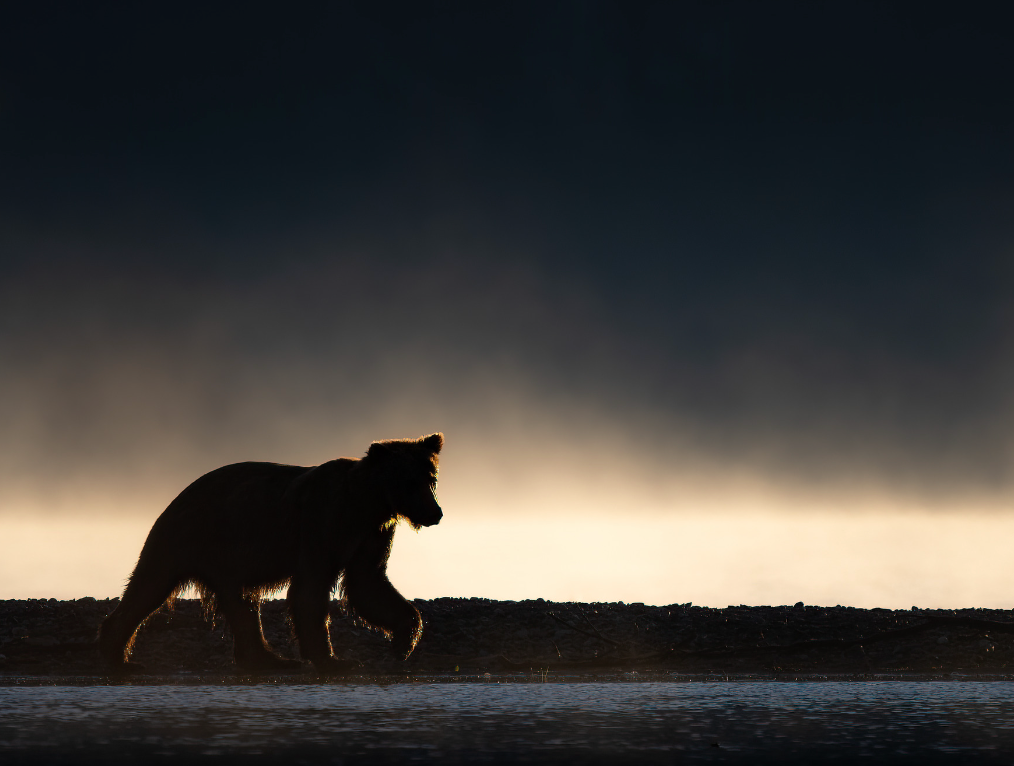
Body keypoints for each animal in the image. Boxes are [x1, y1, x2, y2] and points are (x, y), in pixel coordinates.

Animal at [98, 433, 444, 675]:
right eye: (408, 481)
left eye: (430, 479)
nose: (435, 513)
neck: (367, 504)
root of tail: (176, 496)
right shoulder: (321, 524)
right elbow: (311, 589)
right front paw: (334, 660)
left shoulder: (372, 535)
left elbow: (369, 584)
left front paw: (402, 643)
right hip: (193, 537)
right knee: (151, 583)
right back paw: (120, 656)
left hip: (227, 558)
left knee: (243, 604)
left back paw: (269, 659)